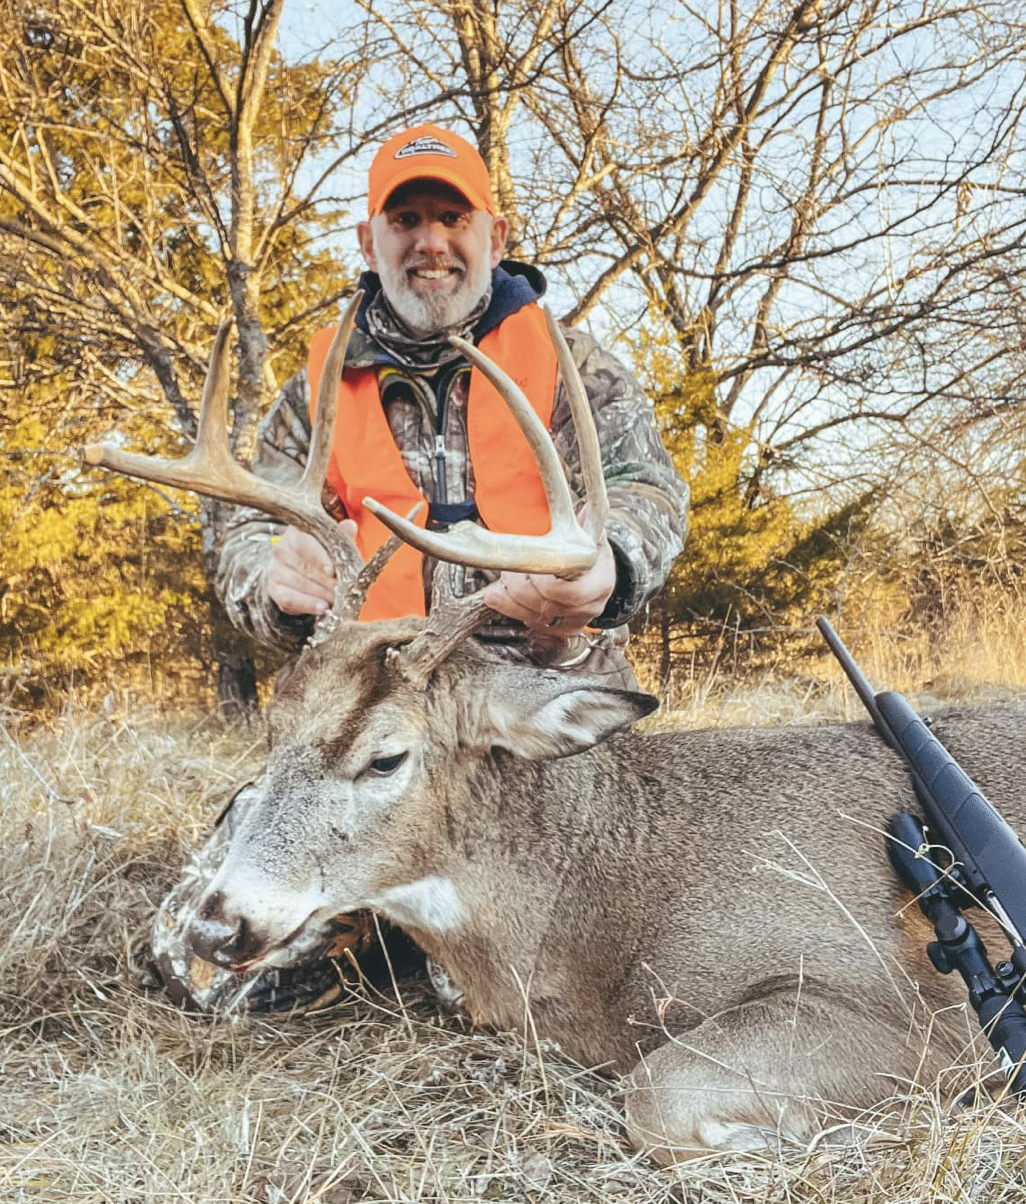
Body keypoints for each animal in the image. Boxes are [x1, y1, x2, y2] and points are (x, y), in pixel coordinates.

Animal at [85, 294, 1026, 1162]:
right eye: (274, 727)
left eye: (386, 757)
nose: (215, 927)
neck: (598, 912)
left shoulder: (905, 1007)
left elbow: (658, 1091)